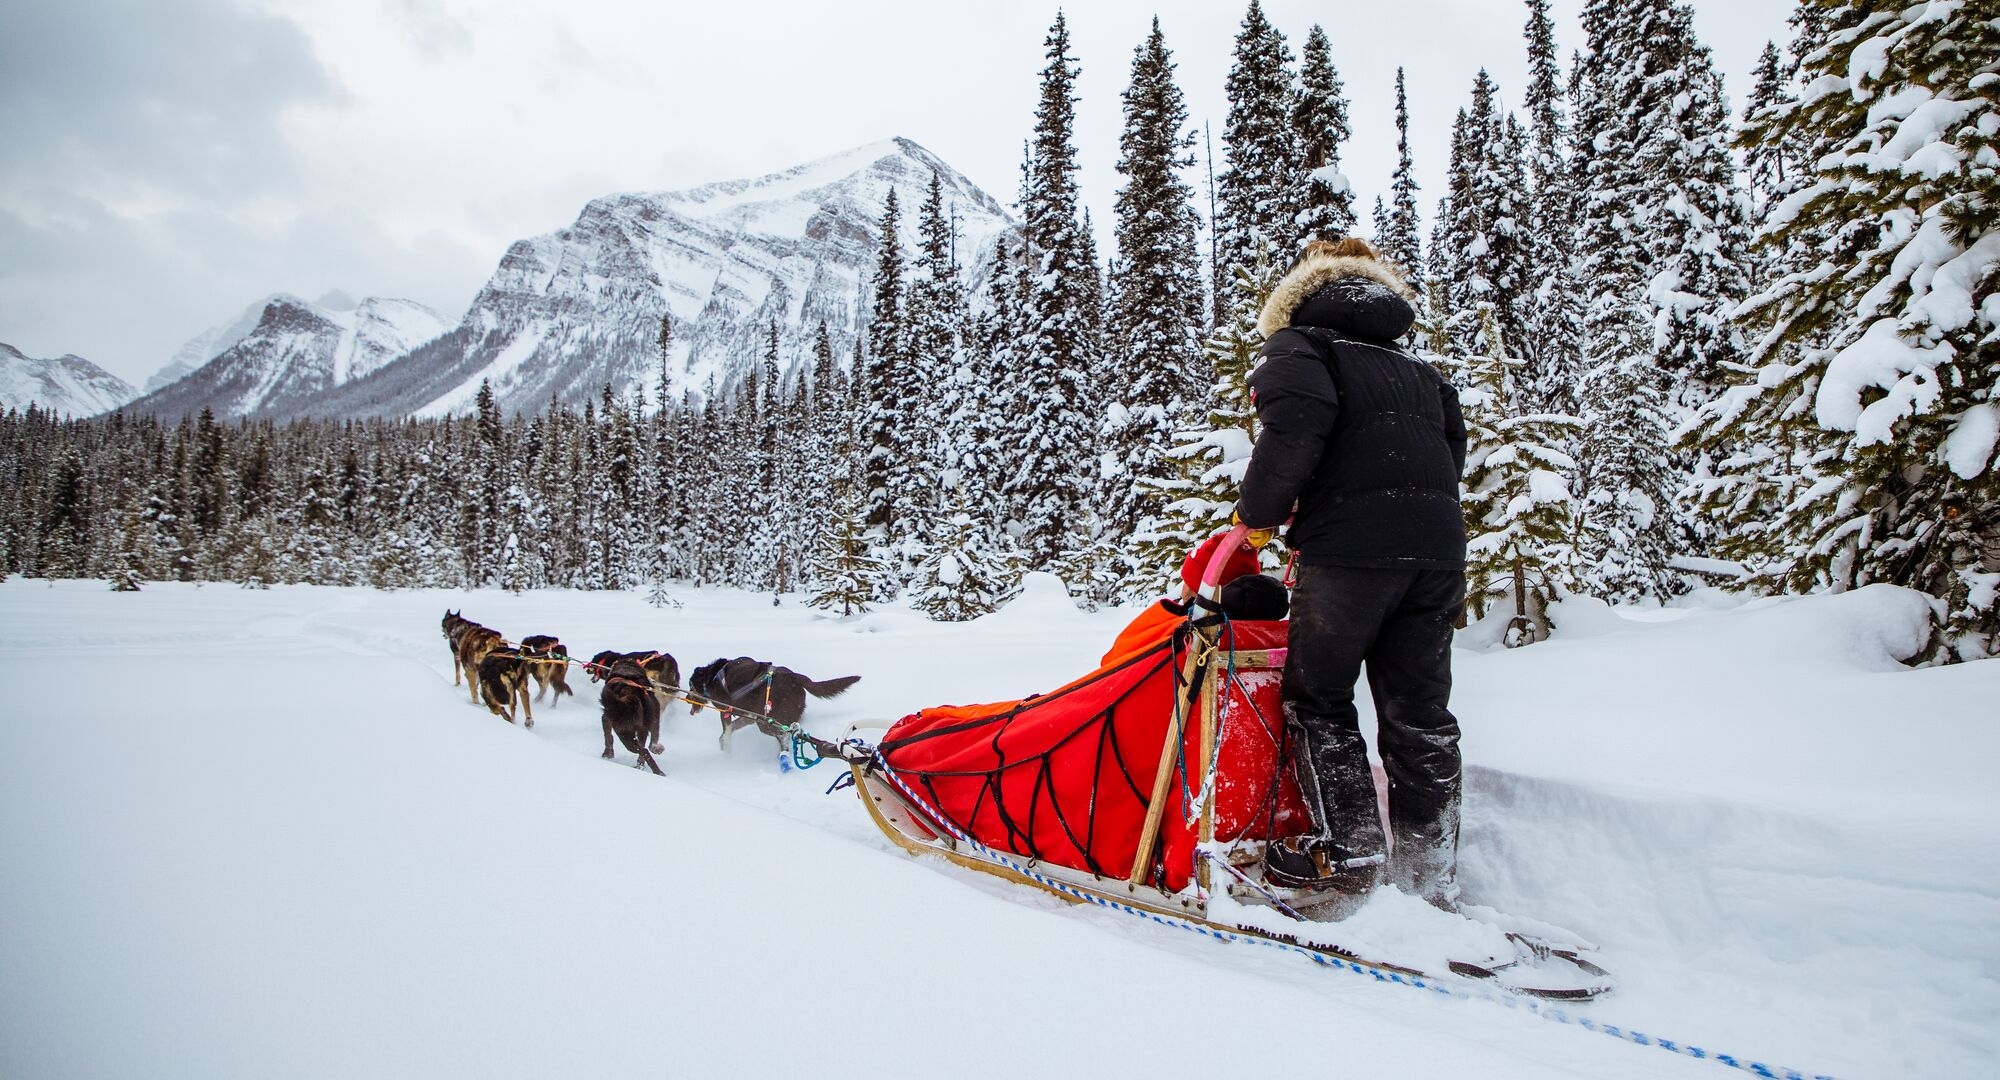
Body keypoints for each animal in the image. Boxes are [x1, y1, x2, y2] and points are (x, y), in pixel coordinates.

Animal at [688, 660, 860, 752]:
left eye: (691, 687)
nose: (688, 700)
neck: (712, 677)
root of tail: (796, 677)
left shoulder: (725, 711)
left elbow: (726, 733)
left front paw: (726, 751)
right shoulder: (748, 716)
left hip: (767, 722)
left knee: (785, 736)